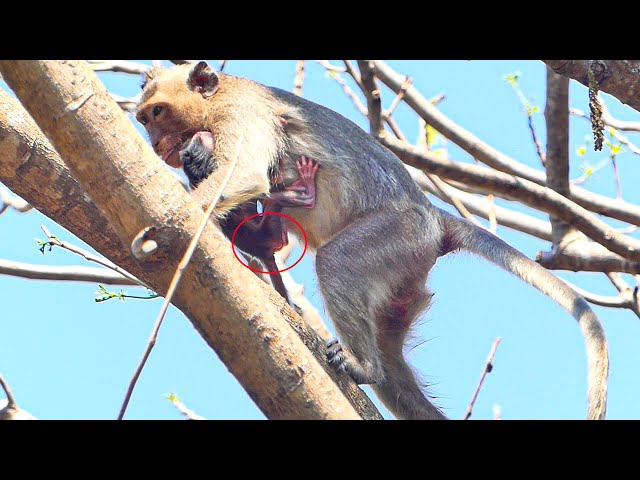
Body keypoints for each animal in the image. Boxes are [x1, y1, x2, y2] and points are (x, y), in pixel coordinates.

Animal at [136, 61, 608, 420]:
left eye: (157, 113)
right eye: (144, 119)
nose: (156, 145)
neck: (218, 98)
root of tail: (432, 216)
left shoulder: (239, 111)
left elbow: (248, 172)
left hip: (398, 234)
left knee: (336, 261)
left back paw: (362, 366)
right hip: (404, 276)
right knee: (394, 373)